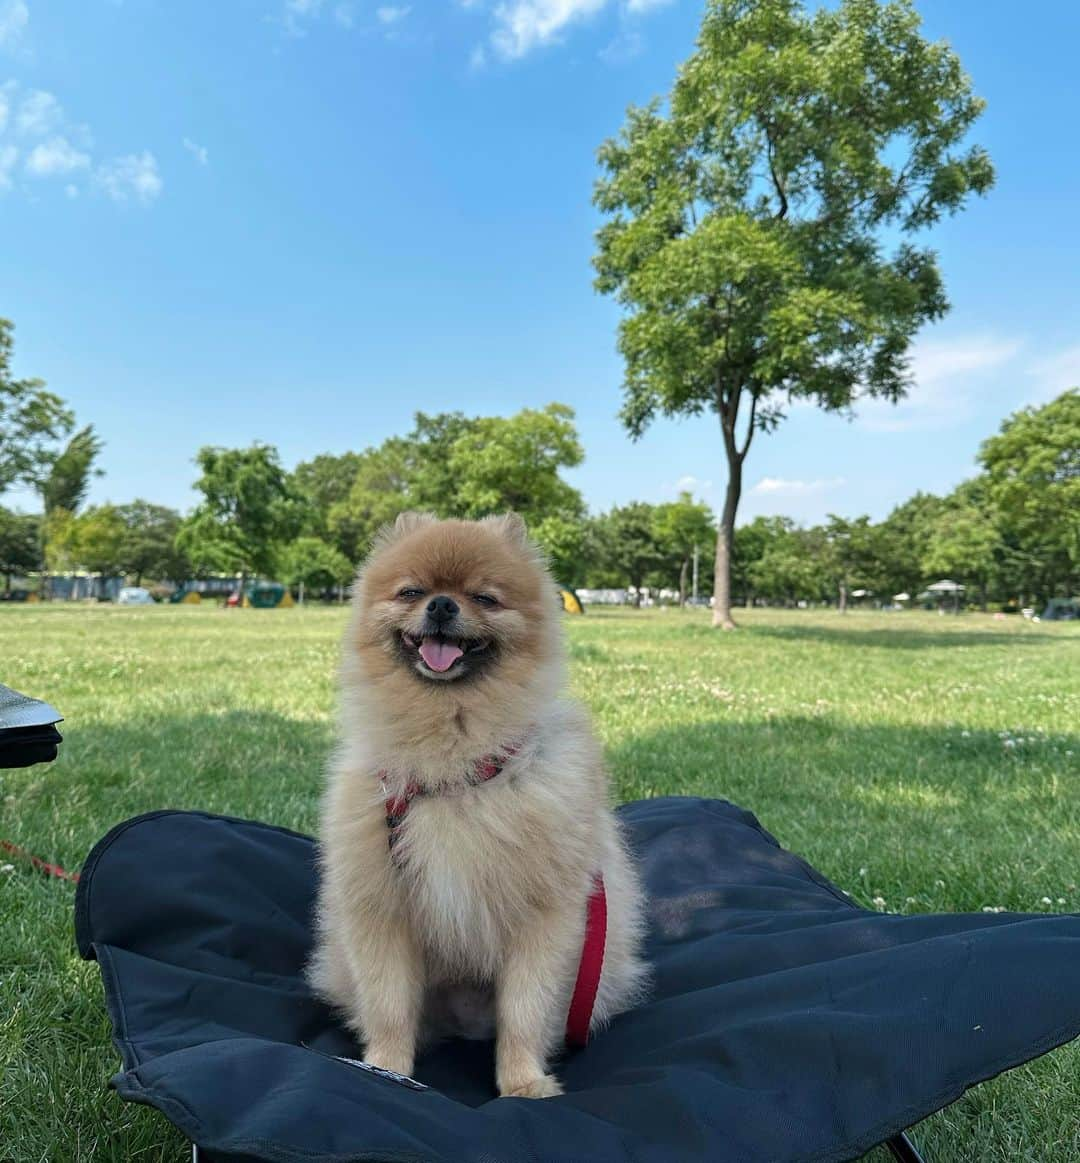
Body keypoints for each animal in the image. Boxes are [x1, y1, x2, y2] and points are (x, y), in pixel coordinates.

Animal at [311, 511, 651, 1097]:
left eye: (486, 599)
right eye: (411, 591)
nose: (443, 605)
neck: (455, 770)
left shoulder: (544, 919)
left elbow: (524, 1011)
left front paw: (523, 1083)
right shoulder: (381, 908)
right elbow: (389, 1005)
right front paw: (385, 1070)